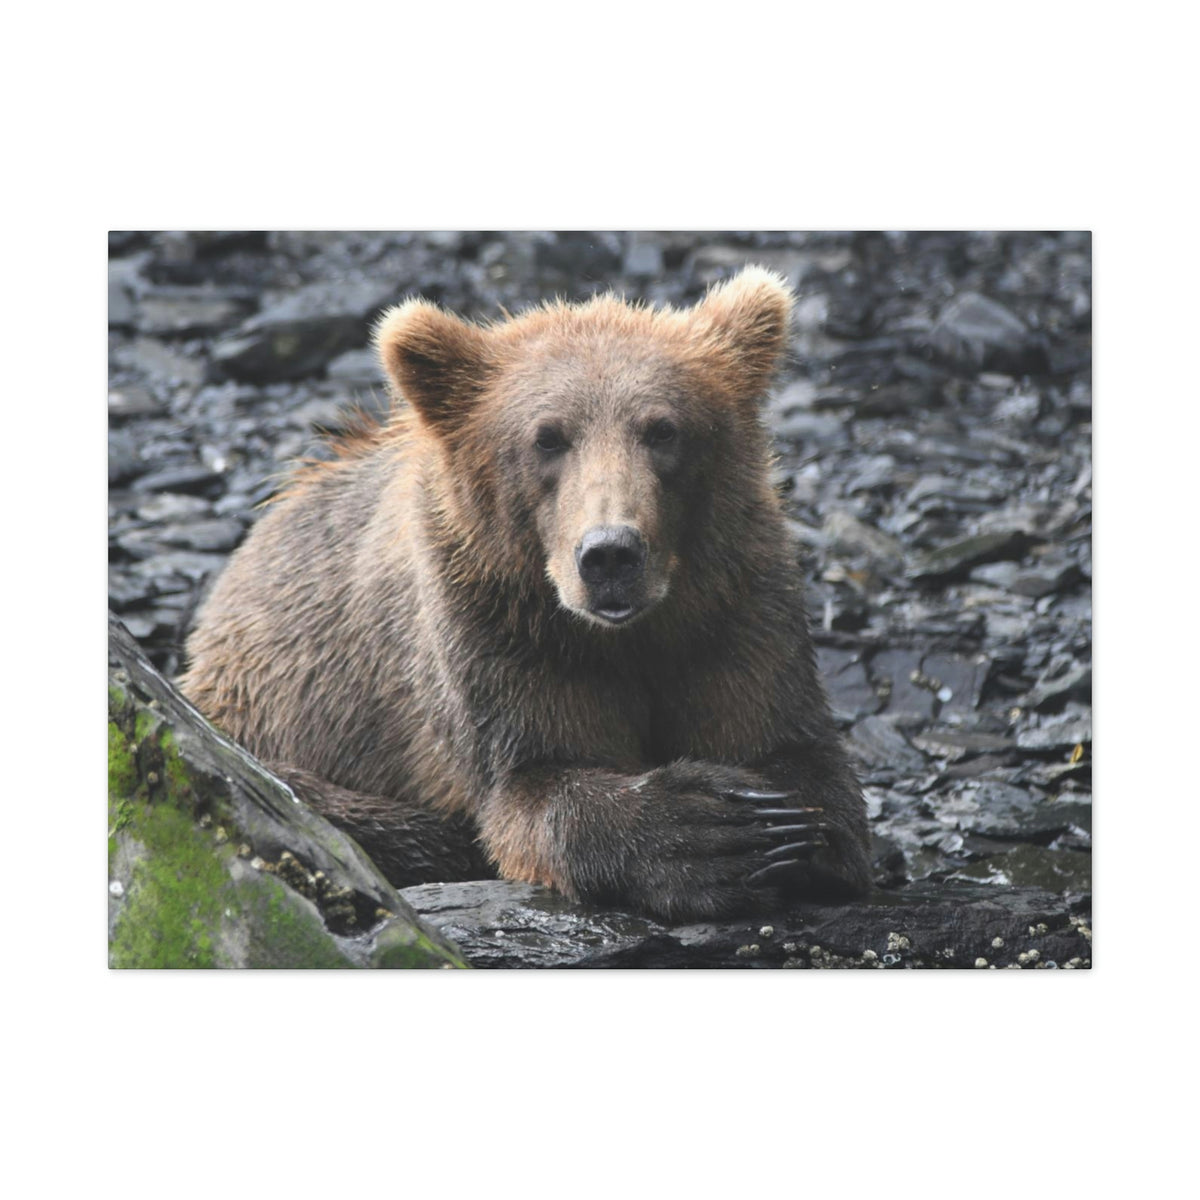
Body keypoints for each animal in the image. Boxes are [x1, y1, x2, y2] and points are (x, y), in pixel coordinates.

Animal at [180, 266, 873, 922]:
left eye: (663, 430)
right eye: (547, 437)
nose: (610, 554)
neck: (625, 634)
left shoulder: (734, 605)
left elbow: (791, 747)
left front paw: (782, 827)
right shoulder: (496, 629)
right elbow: (531, 783)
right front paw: (707, 831)